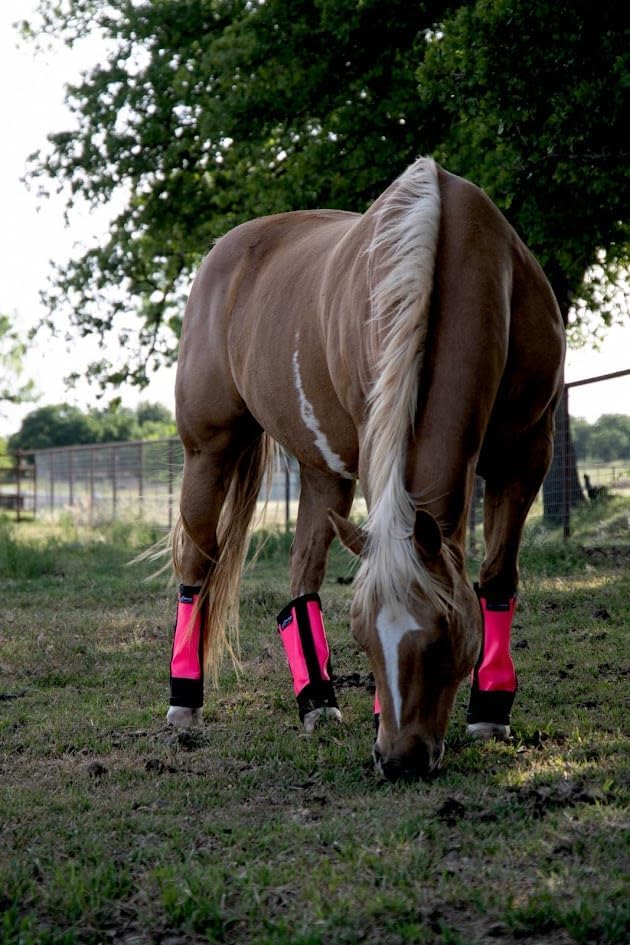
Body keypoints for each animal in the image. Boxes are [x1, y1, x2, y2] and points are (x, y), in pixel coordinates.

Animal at [166, 156, 565, 781]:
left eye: (446, 632)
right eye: (363, 636)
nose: (399, 759)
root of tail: (220, 252)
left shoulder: (529, 452)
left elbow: (499, 576)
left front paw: (490, 712)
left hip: (322, 469)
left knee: (302, 574)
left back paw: (317, 703)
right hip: (209, 448)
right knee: (197, 562)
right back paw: (184, 704)